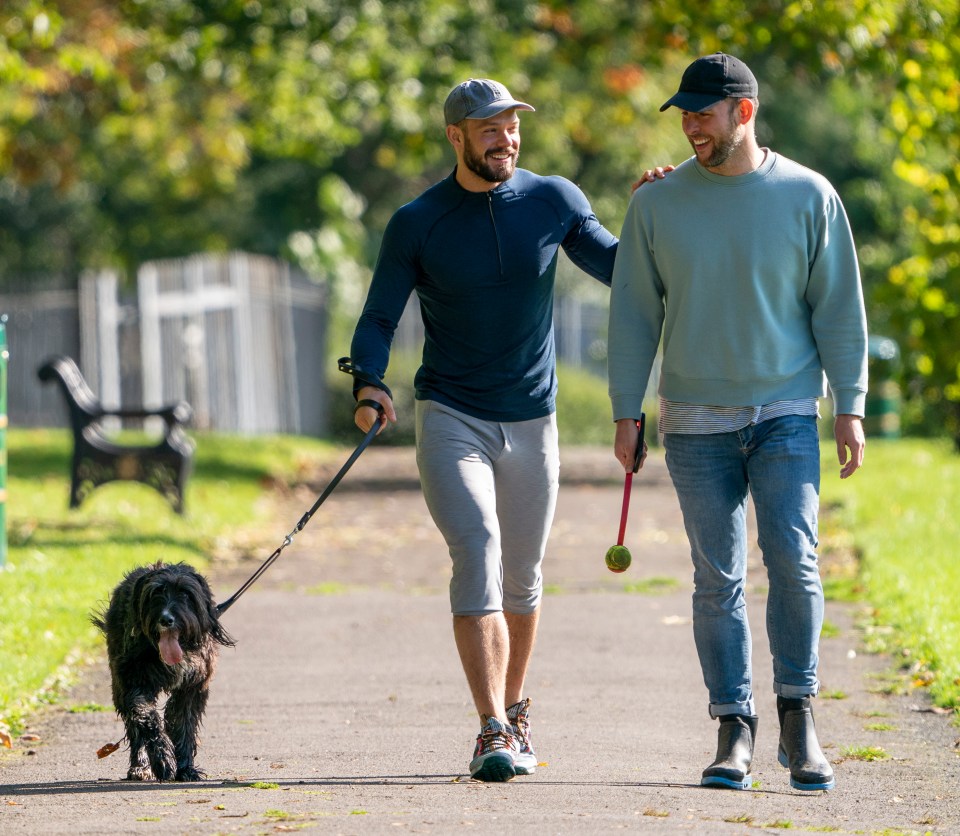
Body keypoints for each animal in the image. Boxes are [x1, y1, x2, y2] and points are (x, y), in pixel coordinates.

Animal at [92, 560, 234, 784]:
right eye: (155, 593)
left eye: (185, 593)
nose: (166, 619)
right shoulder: (133, 681)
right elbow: (147, 718)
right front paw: (163, 758)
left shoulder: (191, 688)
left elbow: (183, 724)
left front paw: (185, 768)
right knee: (133, 726)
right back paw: (140, 766)